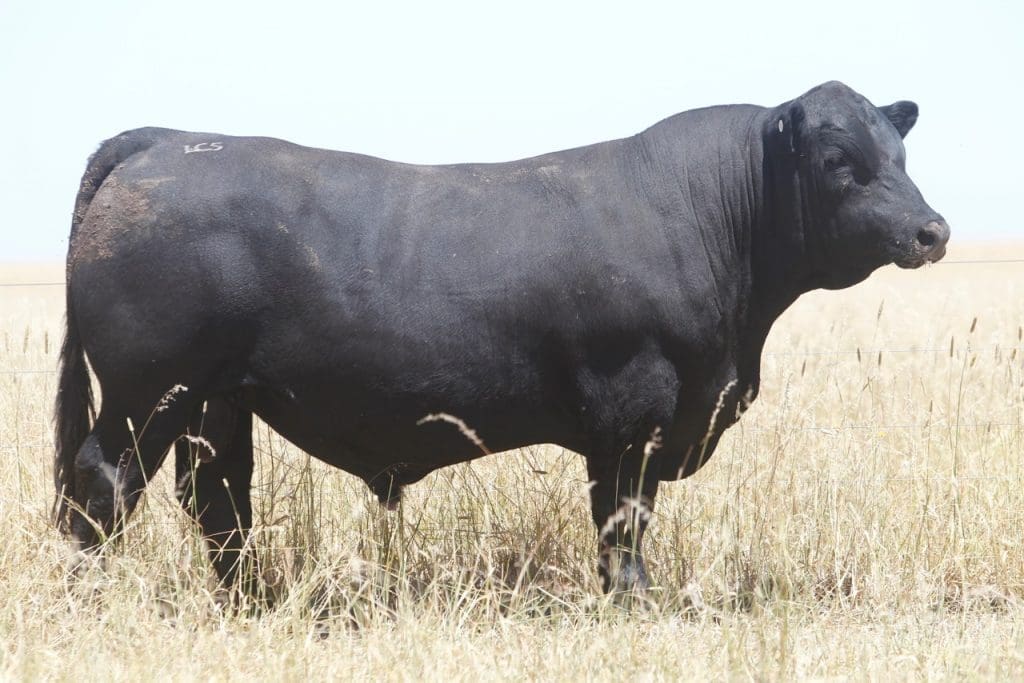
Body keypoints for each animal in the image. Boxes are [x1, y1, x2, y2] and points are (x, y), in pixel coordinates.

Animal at [56, 80, 950, 593]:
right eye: (838, 160)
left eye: (900, 153)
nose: (931, 229)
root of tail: (165, 140)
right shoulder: (633, 413)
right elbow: (622, 518)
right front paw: (634, 599)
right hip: (146, 389)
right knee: (103, 482)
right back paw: (97, 595)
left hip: (215, 397)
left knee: (217, 498)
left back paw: (251, 598)